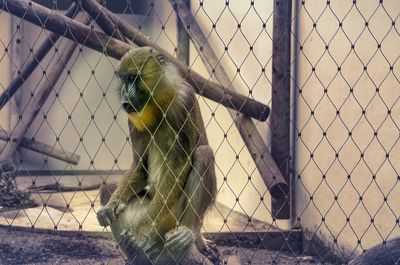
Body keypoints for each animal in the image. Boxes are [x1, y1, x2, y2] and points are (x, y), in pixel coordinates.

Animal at [97, 46, 220, 262]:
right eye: (123, 79)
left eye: (132, 78)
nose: (125, 99)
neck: (159, 104)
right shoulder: (133, 119)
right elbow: (140, 167)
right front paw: (110, 207)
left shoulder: (183, 102)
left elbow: (178, 167)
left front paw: (140, 234)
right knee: (106, 188)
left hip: (171, 217)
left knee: (204, 154)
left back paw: (188, 234)